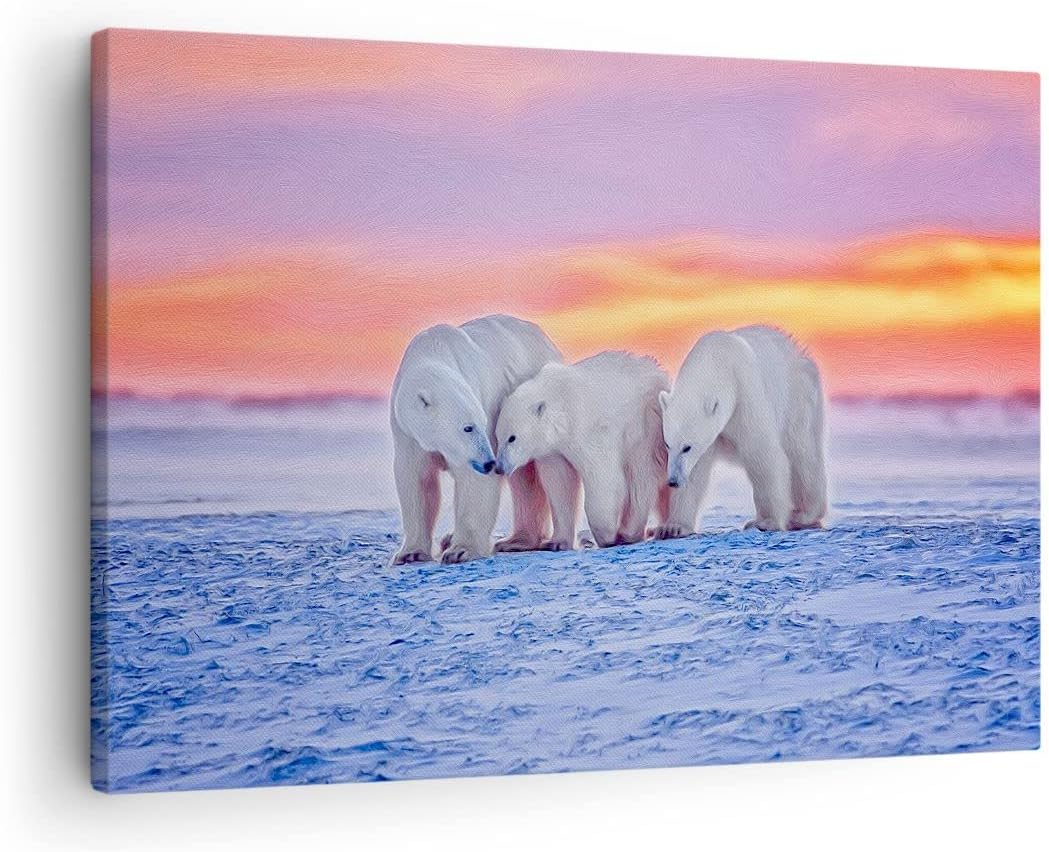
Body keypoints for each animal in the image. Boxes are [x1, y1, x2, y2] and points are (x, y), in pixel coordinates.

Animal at [389, 314, 577, 566]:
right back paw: (515, 541)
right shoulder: (407, 432)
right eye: (468, 427)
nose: (490, 463)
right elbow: (415, 479)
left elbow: (473, 482)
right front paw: (410, 554)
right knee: (523, 478)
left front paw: (460, 551)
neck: (433, 349)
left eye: (483, 422)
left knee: (552, 469)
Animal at [494, 351, 670, 549]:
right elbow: (559, 483)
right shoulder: (553, 449)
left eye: (512, 438)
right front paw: (556, 543)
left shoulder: (586, 430)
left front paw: (606, 536)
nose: (499, 467)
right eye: (497, 437)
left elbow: (602, 476)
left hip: (644, 426)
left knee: (641, 476)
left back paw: (628, 533)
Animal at [654, 325, 828, 537]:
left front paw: (764, 522)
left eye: (687, 447)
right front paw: (673, 527)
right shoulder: (710, 434)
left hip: (798, 398)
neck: (717, 360)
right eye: (667, 444)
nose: (672, 481)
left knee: (803, 454)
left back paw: (805, 515)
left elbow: (763, 455)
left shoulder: (744, 395)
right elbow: (695, 471)